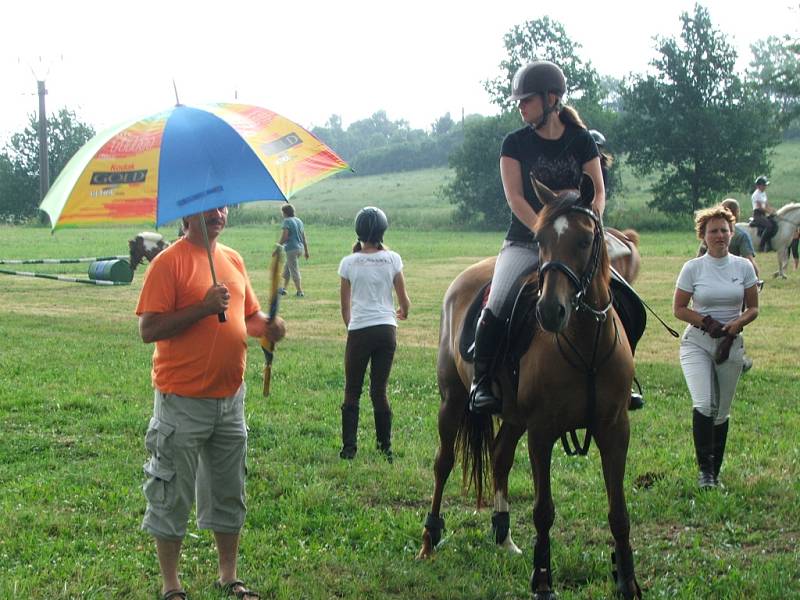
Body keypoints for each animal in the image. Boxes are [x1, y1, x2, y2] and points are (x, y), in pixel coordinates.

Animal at [418, 179, 644, 600]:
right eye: (540, 240)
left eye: (585, 240)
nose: (550, 311)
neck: (584, 342)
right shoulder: (542, 432)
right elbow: (543, 511)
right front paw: (542, 583)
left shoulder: (614, 429)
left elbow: (619, 512)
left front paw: (627, 582)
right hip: (452, 401)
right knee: (444, 463)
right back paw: (429, 539)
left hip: (513, 417)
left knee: (500, 455)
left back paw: (503, 536)